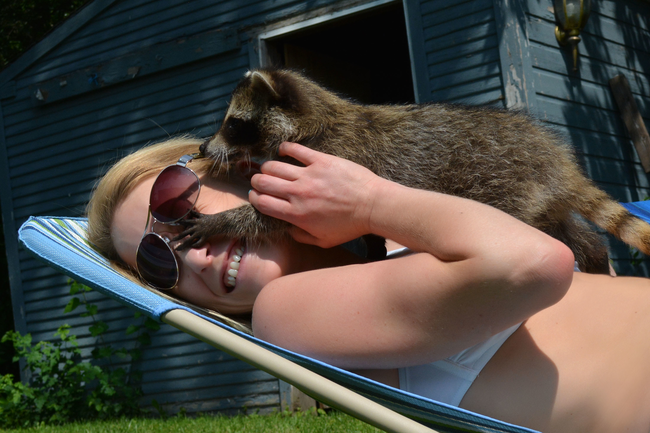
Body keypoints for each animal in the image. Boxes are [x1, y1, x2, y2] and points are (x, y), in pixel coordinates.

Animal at [178, 68, 650, 273]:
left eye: (233, 124)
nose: (202, 147)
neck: (316, 120)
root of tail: (554, 159)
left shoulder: (332, 161)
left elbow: (275, 217)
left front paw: (224, 221)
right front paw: (372, 251)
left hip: (503, 184)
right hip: (538, 197)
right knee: (573, 231)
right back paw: (595, 257)